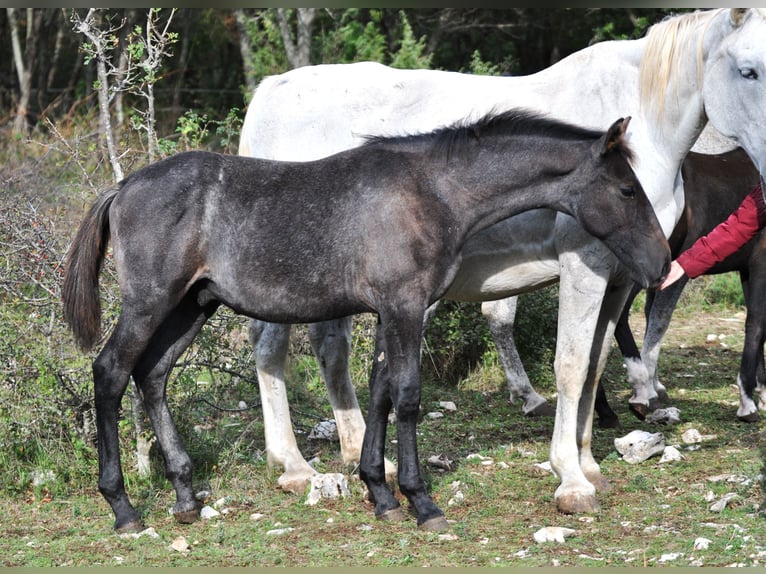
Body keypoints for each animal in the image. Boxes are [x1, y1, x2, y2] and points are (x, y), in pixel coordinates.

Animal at [243, 7, 766, 512]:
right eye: (748, 70)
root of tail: (270, 91)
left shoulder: (621, 277)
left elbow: (597, 363)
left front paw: (588, 463)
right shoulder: (586, 267)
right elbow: (571, 365)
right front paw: (570, 479)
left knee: (330, 350)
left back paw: (359, 457)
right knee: (271, 351)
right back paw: (294, 465)